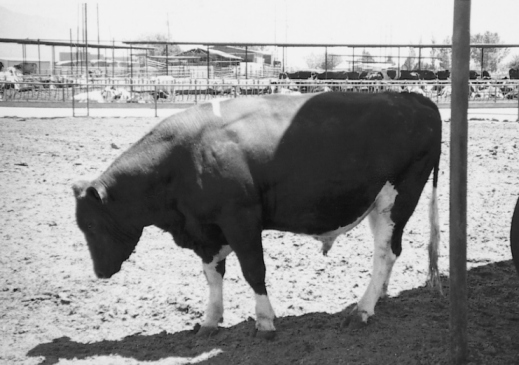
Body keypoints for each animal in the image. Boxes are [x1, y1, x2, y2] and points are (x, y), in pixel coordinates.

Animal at [71, 92, 440, 336]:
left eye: (90, 223)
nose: (99, 272)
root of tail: (413, 98)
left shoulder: (241, 219)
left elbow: (253, 270)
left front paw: (265, 320)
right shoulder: (207, 230)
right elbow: (213, 275)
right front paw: (209, 320)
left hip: (399, 199)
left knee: (385, 252)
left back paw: (362, 309)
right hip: (378, 204)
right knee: (387, 252)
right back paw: (380, 295)